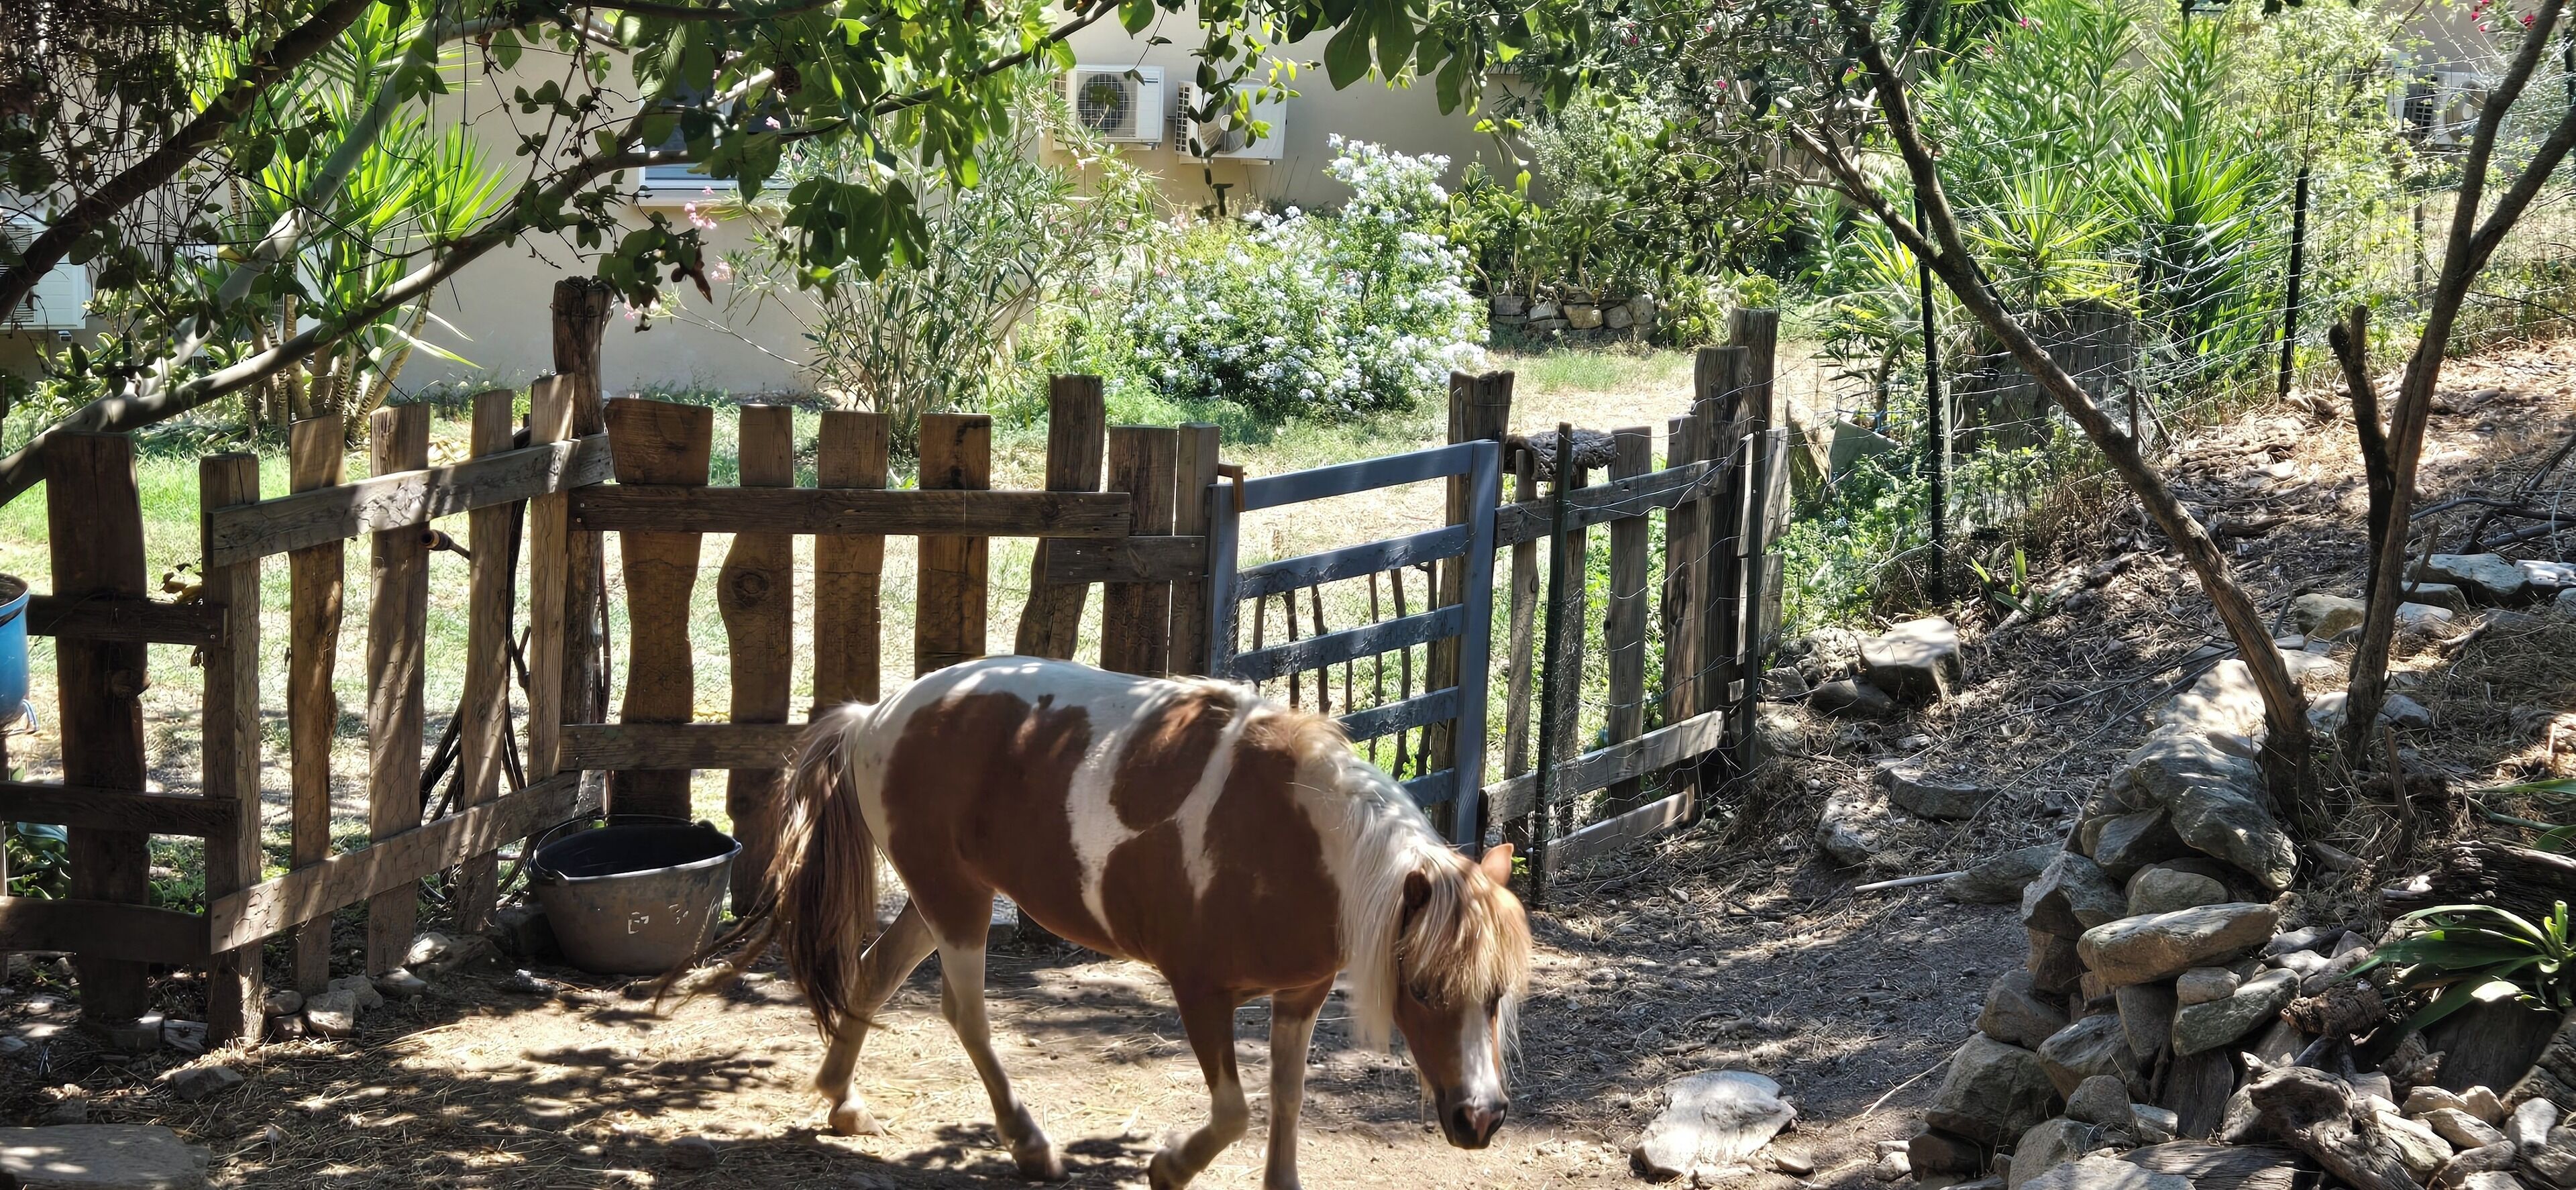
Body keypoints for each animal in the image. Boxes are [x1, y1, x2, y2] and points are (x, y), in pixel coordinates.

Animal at [680, 655, 1532, 1189]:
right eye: (1422, 989)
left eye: (1495, 996)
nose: (1481, 1118)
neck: (1298, 836)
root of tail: (873, 717)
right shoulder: (1199, 990)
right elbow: (1235, 1109)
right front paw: (1168, 1167)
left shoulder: (1301, 995)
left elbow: (1286, 1101)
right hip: (957, 904)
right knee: (965, 1012)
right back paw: (1031, 1146)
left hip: (939, 897)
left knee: (873, 972)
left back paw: (842, 1099)